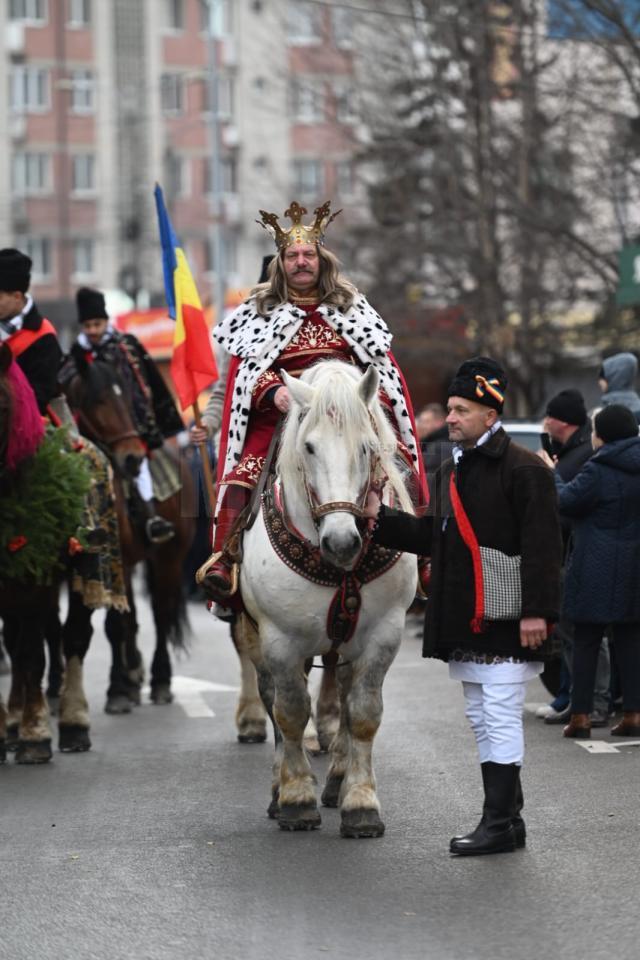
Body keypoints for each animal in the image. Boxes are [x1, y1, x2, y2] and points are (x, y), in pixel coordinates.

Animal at [64, 356, 196, 708]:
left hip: (169, 556)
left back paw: (160, 680)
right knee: (133, 617)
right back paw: (135, 673)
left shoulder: (115, 560)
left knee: (161, 613)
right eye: (97, 400)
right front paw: (121, 685)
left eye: (125, 397)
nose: (133, 458)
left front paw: (118, 689)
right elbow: (117, 623)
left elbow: (116, 623)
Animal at [238, 360, 418, 840]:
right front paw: (296, 798)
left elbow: (363, 714)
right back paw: (279, 788)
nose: (341, 542)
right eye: (309, 447)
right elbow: (290, 712)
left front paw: (361, 803)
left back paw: (337, 780)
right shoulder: (280, 639)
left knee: (341, 700)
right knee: (272, 698)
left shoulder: (383, 634)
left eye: (367, 446)